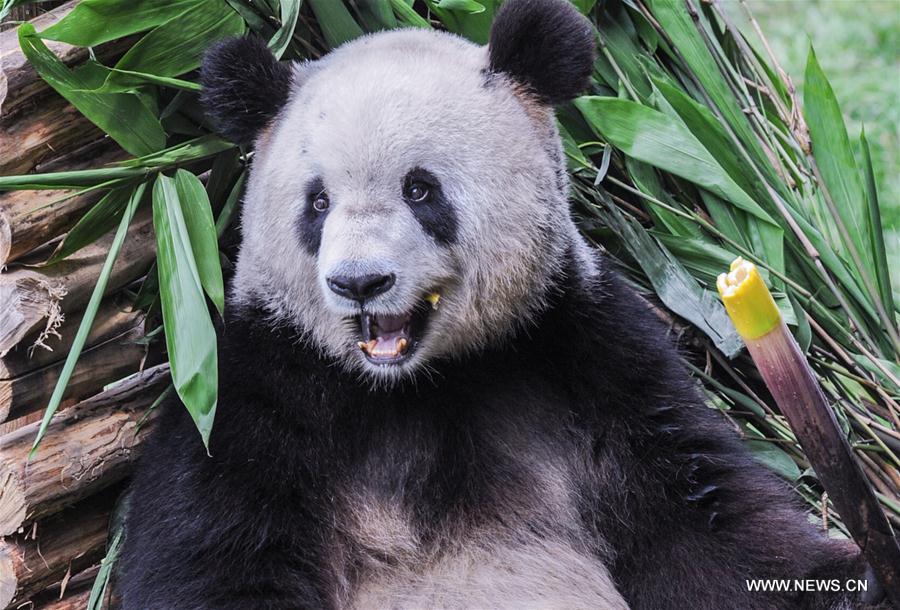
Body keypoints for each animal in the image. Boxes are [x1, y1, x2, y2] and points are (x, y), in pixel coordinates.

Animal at [119, 0, 880, 608]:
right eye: (318, 203)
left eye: (420, 189)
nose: (359, 283)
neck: (415, 386)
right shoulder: (256, 393)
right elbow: (215, 554)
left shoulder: (585, 353)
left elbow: (703, 520)